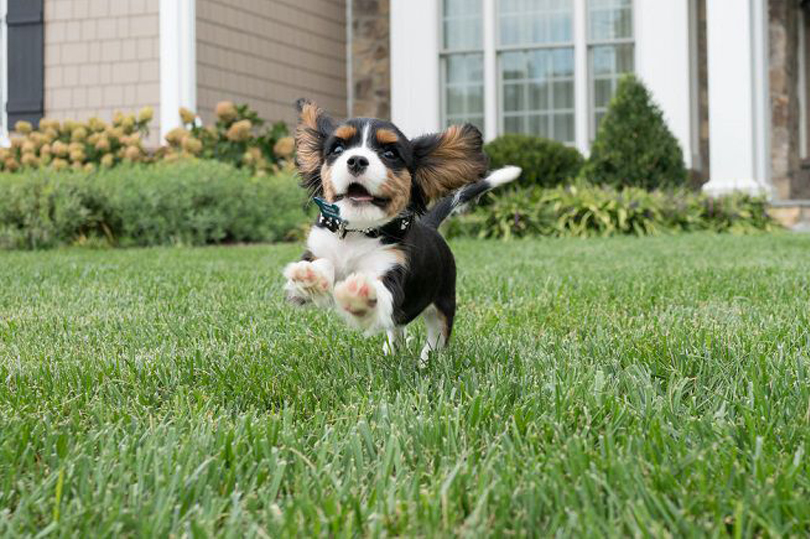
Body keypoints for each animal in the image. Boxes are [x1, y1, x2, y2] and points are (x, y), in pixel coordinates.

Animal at [284, 99, 520, 364]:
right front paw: (310, 276)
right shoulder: (318, 249)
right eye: (337, 149)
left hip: (445, 300)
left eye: (390, 154)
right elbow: (318, 267)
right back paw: (393, 348)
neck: (358, 230)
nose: (356, 160)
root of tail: (429, 225)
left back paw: (426, 361)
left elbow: (380, 293)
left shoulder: (393, 272)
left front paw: (360, 292)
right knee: (396, 326)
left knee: (438, 334)